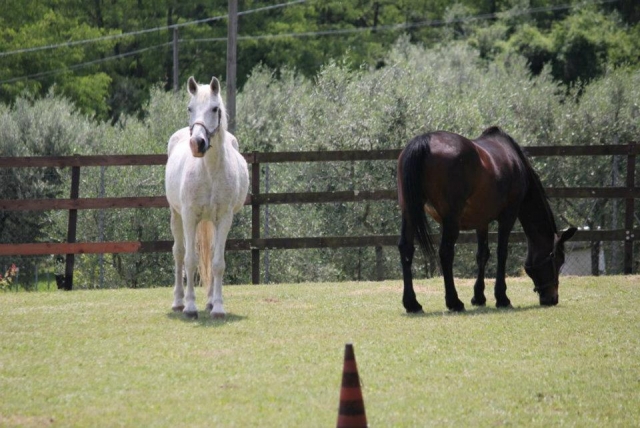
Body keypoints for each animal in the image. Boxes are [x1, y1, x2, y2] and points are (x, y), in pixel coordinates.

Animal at [165, 76, 249, 319]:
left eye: (215, 108)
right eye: (190, 108)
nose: (197, 143)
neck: (209, 171)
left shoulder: (224, 218)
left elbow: (217, 263)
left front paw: (218, 307)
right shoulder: (189, 215)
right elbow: (190, 260)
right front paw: (190, 307)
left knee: (210, 257)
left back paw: (210, 302)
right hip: (177, 216)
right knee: (179, 253)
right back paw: (178, 302)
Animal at [397, 126, 576, 313]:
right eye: (558, 259)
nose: (552, 299)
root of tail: (425, 140)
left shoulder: (481, 220)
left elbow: (482, 254)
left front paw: (479, 296)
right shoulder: (508, 215)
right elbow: (501, 252)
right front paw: (502, 297)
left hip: (409, 211)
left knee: (406, 249)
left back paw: (412, 303)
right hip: (451, 219)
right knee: (446, 252)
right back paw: (454, 302)